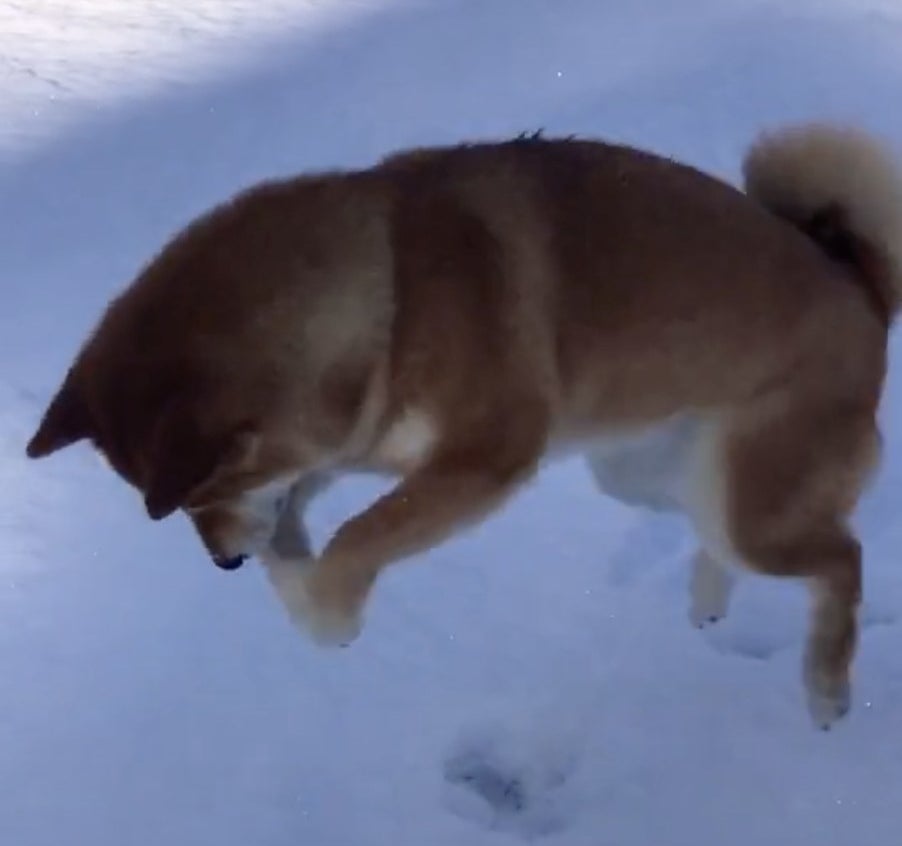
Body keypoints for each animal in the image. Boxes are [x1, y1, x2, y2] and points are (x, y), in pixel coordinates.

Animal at [28, 122, 902, 732]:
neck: (392, 289)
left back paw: (826, 687)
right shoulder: (360, 437)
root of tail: (859, 289)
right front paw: (288, 551)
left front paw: (324, 613)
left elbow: (359, 540)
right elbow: (314, 492)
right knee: (736, 540)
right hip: (651, 477)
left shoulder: (486, 457)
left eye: (194, 496)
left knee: (842, 557)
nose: (223, 564)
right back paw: (708, 598)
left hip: (749, 502)